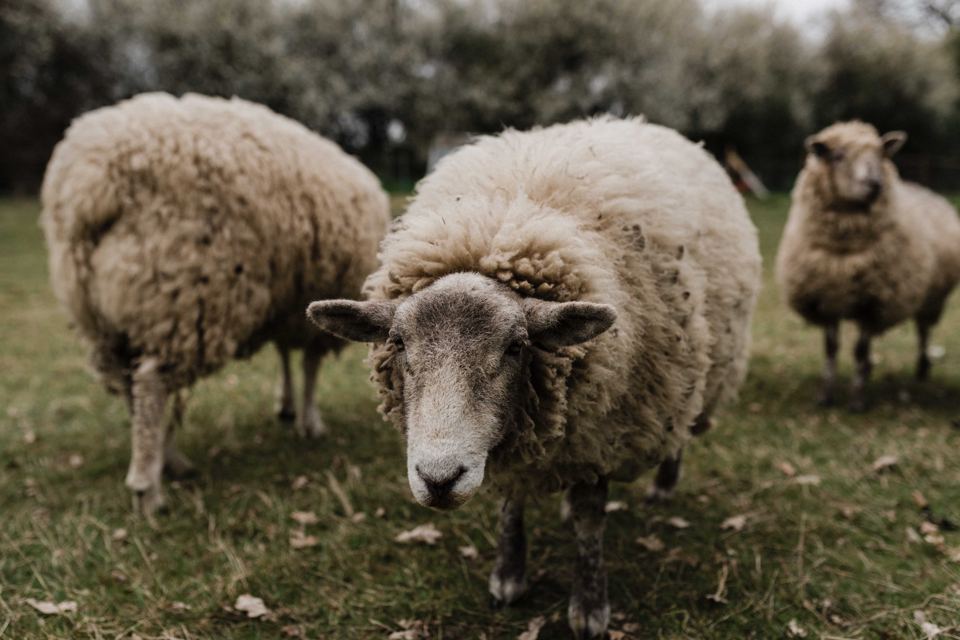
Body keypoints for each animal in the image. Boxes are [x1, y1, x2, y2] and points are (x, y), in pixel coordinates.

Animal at [40, 92, 390, 515]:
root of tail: (89, 183)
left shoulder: (288, 306)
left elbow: (286, 358)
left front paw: (287, 407)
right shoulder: (318, 303)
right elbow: (309, 367)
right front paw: (310, 421)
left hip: (101, 313)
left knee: (134, 391)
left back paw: (168, 460)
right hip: (184, 296)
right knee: (151, 384)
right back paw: (148, 488)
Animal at [307, 117, 762, 639]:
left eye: (516, 346)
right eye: (398, 343)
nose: (439, 480)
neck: (501, 224)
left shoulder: (599, 432)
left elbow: (589, 517)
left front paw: (589, 607)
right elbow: (512, 502)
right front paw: (508, 576)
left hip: (689, 378)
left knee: (681, 426)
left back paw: (664, 483)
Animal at [776, 121, 960, 410]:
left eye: (881, 154)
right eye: (838, 155)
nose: (874, 184)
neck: (844, 252)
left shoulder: (873, 302)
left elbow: (859, 350)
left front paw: (857, 400)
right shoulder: (828, 299)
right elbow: (832, 348)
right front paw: (826, 395)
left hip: (931, 298)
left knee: (923, 332)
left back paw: (922, 368)